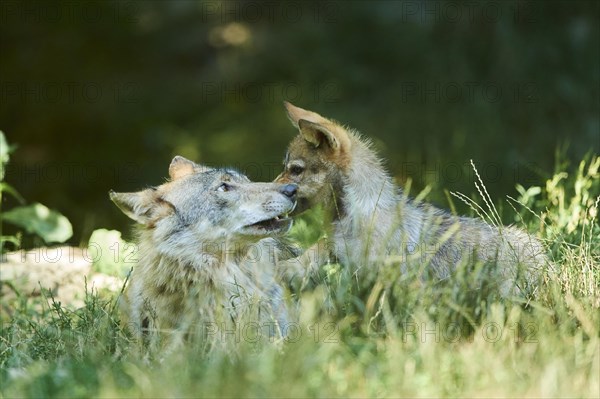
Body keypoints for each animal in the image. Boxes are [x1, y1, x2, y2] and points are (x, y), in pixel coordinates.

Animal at [276, 103, 548, 296]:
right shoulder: (342, 249)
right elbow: (322, 244)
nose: (273, 189)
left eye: (295, 170)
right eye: (286, 168)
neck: (356, 216)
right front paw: (292, 267)